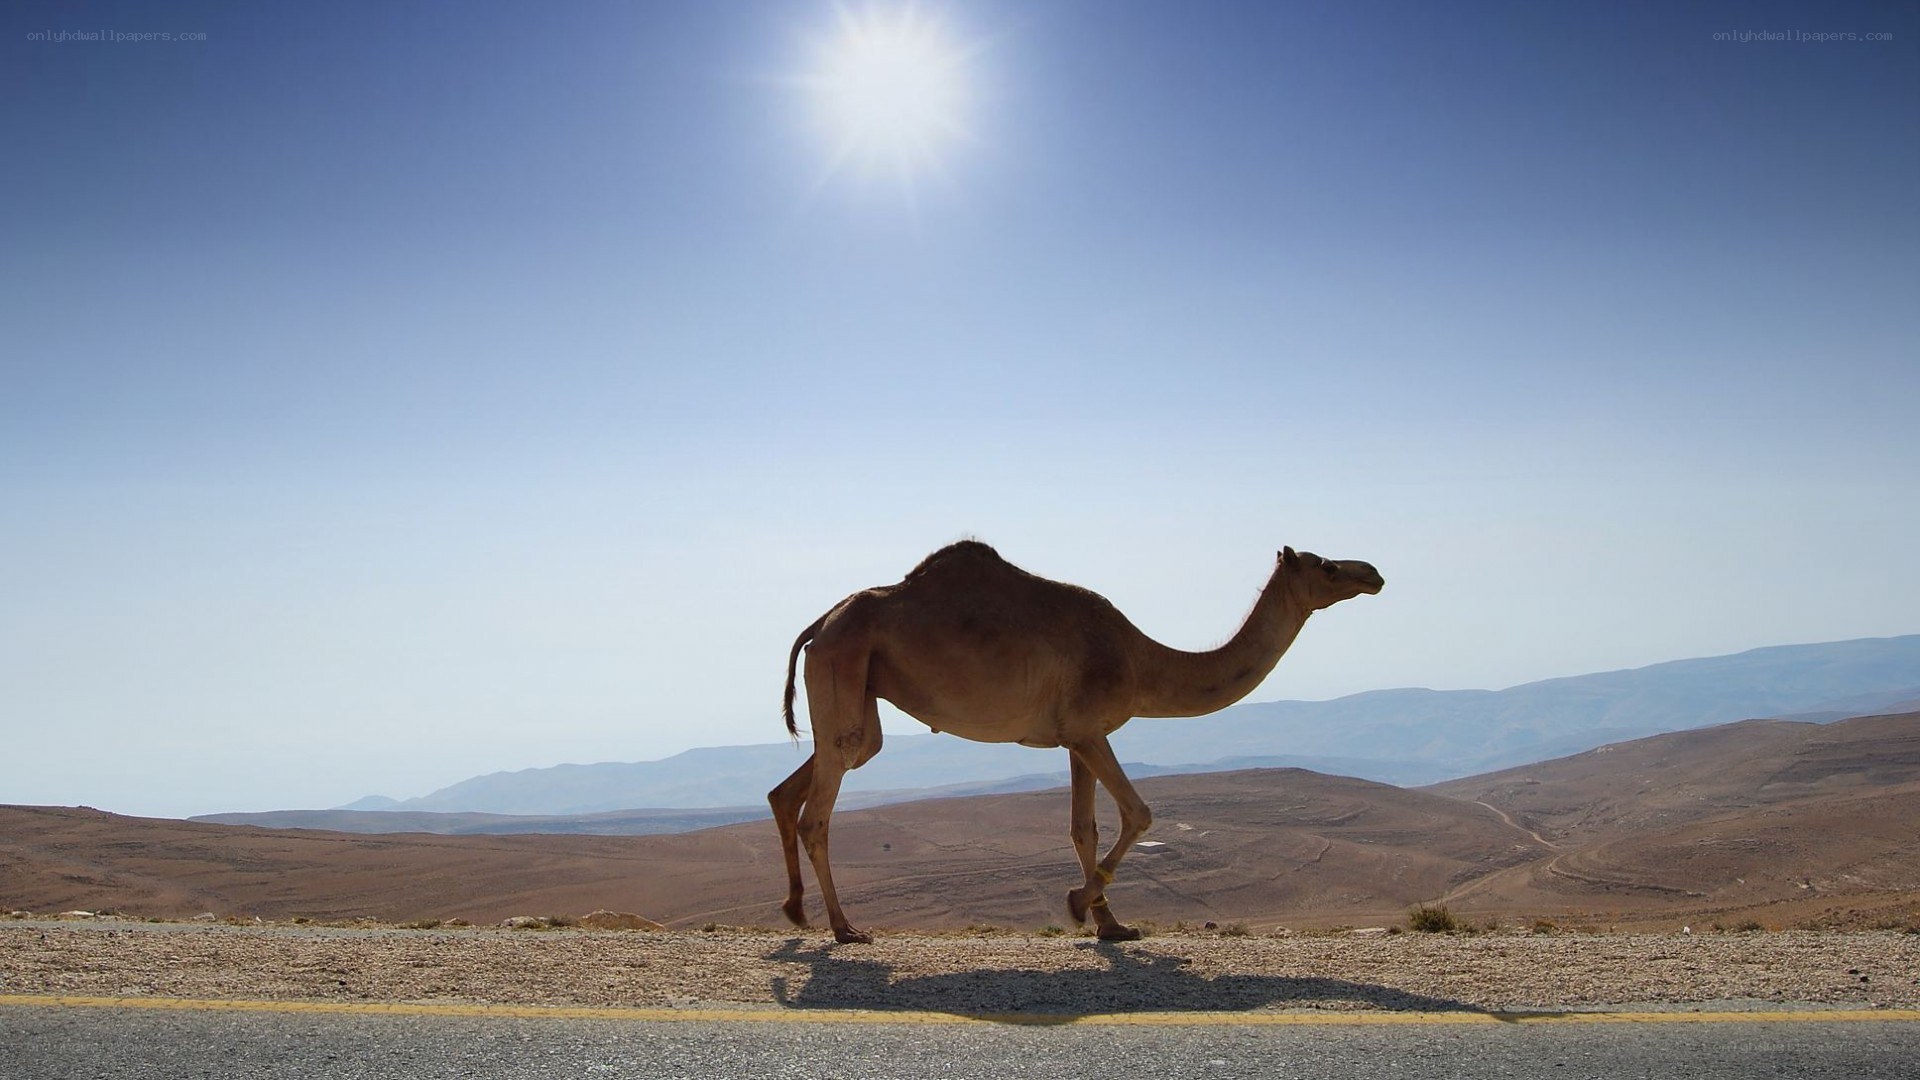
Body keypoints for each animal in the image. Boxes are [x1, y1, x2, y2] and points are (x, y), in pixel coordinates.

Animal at [768, 540, 1384, 944]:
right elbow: (1139, 812)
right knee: (818, 809)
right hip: (845, 663)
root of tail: (819, 624)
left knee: (808, 777)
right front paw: (1077, 903)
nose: (1373, 572)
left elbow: (1083, 828)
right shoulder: (1089, 728)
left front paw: (1110, 923)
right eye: (1328, 566)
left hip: (856, 689)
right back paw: (844, 928)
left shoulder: (1075, 737)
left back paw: (796, 911)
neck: (1140, 660)